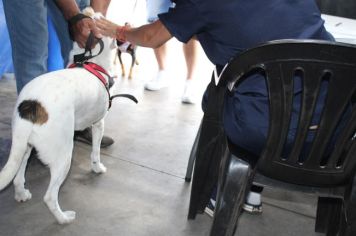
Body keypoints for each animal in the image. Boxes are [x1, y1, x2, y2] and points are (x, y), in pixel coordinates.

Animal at [0, 9, 121, 224]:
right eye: (105, 22)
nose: (96, 12)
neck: (92, 62)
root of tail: (32, 104)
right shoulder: (99, 123)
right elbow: (96, 152)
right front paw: (98, 168)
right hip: (63, 156)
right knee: (49, 197)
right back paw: (64, 218)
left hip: (24, 146)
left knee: (17, 176)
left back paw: (21, 194)